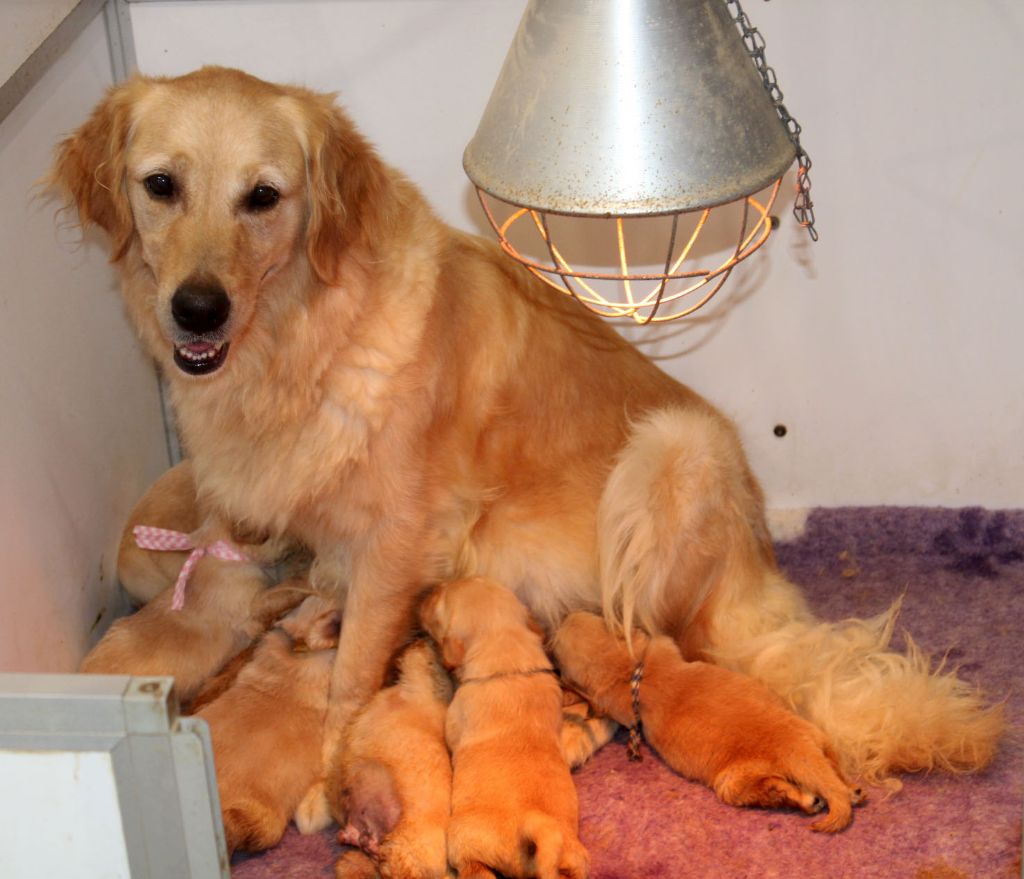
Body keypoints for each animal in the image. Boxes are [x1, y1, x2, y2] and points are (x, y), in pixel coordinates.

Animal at [554, 611, 865, 832]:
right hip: (809, 742)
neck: (630, 668)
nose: (561, 619)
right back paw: (847, 791)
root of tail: (795, 749)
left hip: (735, 782)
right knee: (824, 774)